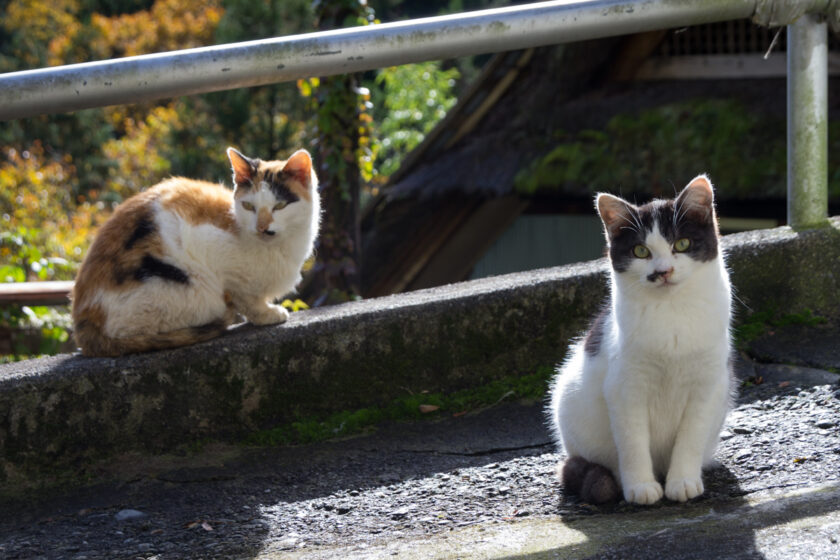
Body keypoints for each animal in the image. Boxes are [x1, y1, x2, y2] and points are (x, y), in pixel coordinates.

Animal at [70, 147, 320, 356]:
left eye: (280, 206)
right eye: (249, 206)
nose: (261, 228)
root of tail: (83, 328)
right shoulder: (207, 244)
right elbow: (246, 297)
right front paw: (267, 314)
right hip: (185, 290)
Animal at [548, 176, 732, 508]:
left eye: (682, 244)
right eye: (640, 251)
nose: (663, 272)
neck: (671, 311)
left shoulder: (707, 385)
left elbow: (691, 436)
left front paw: (683, 482)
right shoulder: (625, 388)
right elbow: (633, 442)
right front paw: (641, 487)